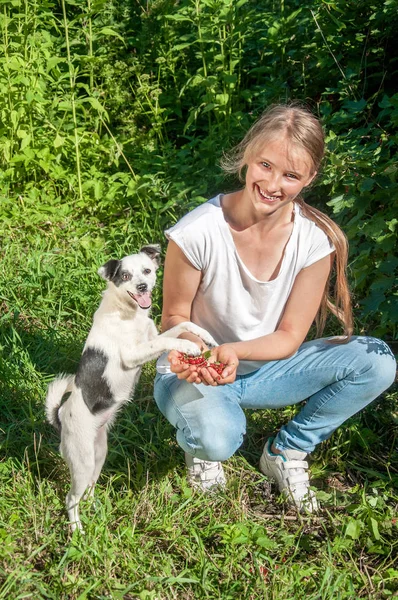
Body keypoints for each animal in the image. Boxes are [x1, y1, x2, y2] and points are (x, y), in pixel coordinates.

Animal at [45, 246, 218, 532]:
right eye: (125, 275)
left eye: (147, 271)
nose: (142, 286)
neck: (129, 313)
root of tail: (59, 416)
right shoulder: (132, 354)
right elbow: (169, 340)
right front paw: (189, 346)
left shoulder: (152, 338)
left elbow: (182, 327)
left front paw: (205, 336)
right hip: (81, 461)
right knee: (71, 498)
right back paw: (77, 529)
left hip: (98, 454)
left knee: (89, 489)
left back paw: (96, 509)